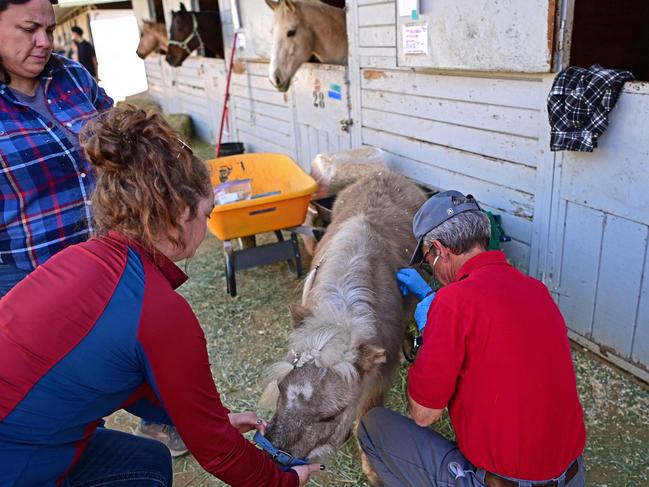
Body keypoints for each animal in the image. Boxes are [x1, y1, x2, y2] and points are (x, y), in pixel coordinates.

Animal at [260, 170, 428, 482]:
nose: (274, 457)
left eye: (330, 415)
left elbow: (366, 416)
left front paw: (372, 471)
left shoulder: (378, 382)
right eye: (280, 386)